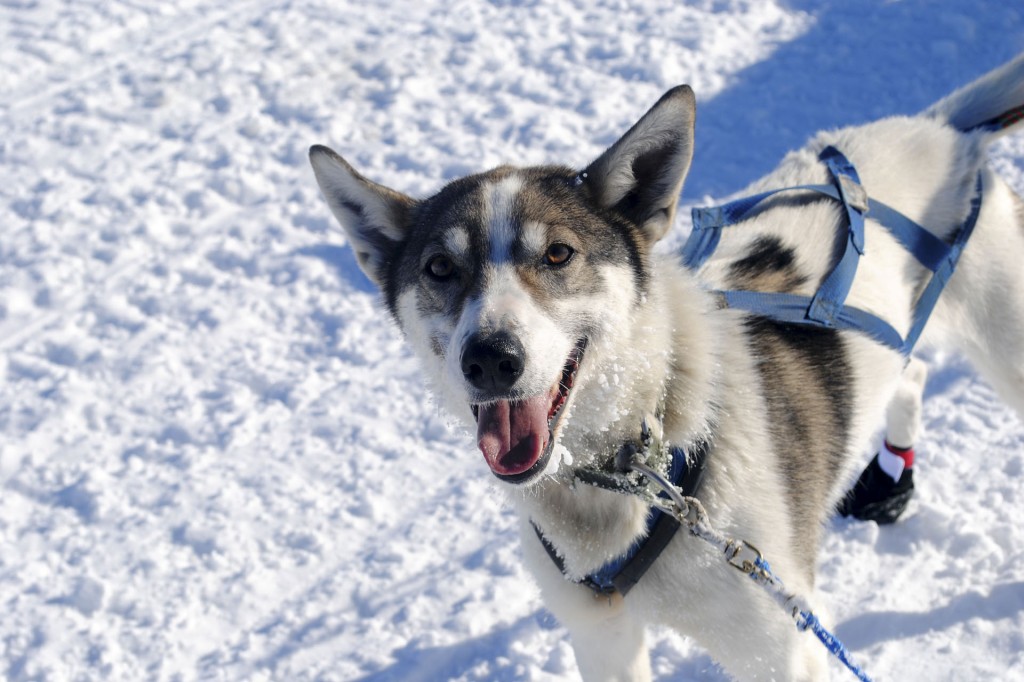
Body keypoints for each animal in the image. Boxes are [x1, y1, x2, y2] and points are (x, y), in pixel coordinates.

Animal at [307, 54, 1024, 679]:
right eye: (439, 268)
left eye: (559, 254)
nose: (489, 358)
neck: (633, 468)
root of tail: (940, 130)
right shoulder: (602, 636)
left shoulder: (780, 649)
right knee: (913, 372)